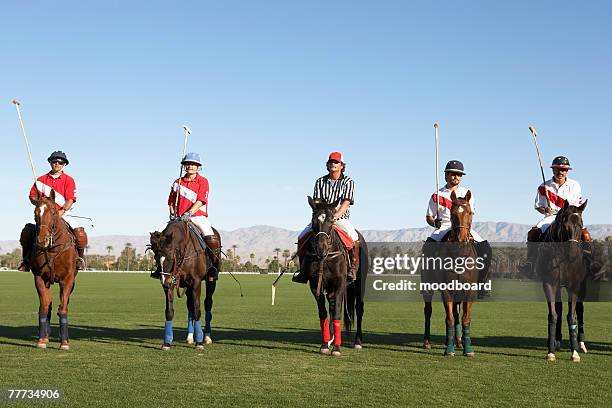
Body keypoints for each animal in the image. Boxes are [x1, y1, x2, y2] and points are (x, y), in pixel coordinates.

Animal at [28, 190, 79, 350]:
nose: (41, 240)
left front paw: (64, 342)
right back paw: (45, 335)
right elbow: (44, 307)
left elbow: (63, 307)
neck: (52, 249)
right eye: (35, 212)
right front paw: (41, 340)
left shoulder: (67, 279)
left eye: (53, 212)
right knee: (48, 305)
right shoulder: (39, 277)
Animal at [149, 220, 220, 350]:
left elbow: (197, 310)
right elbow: (169, 311)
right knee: (190, 305)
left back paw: (207, 337)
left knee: (208, 303)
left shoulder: (196, 281)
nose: (164, 283)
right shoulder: (172, 280)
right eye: (156, 258)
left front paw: (199, 342)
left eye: (170, 257)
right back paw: (190, 337)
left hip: (211, 280)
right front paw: (167, 342)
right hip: (187, 286)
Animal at [302, 198, 368, 356]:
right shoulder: (316, 285)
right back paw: (331, 339)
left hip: (359, 284)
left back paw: (358, 341)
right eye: (313, 220)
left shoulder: (339, 284)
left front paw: (336, 348)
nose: (321, 249)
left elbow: (337, 313)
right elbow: (323, 313)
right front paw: (325, 344)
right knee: (331, 308)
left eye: (331, 220)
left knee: (359, 308)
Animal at [536, 199, 592, 362]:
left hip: (583, 286)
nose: (573, 254)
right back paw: (557, 341)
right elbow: (553, 314)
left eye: (580, 224)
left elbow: (572, 316)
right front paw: (551, 351)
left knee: (580, 310)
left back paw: (581, 344)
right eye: (565, 225)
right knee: (559, 309)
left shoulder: (574, 285)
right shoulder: (549, 284)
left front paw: (574, 353)